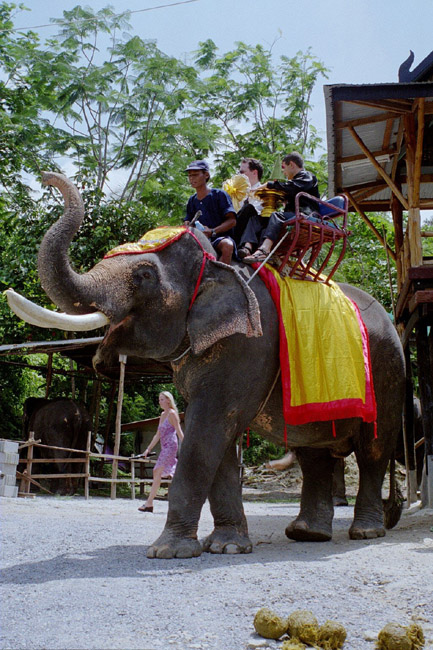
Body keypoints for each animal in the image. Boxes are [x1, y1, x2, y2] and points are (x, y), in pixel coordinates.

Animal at [6, 172, 405, 558]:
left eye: (144, 275)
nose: (48, 177)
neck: (215, 261)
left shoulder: (248, 344)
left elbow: (206, 432)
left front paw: (167, 551)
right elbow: (218, 440)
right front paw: (227, 546)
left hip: (389, 371)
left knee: (373, 449)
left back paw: (365, 531)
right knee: (313, 451)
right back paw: (307, 533)